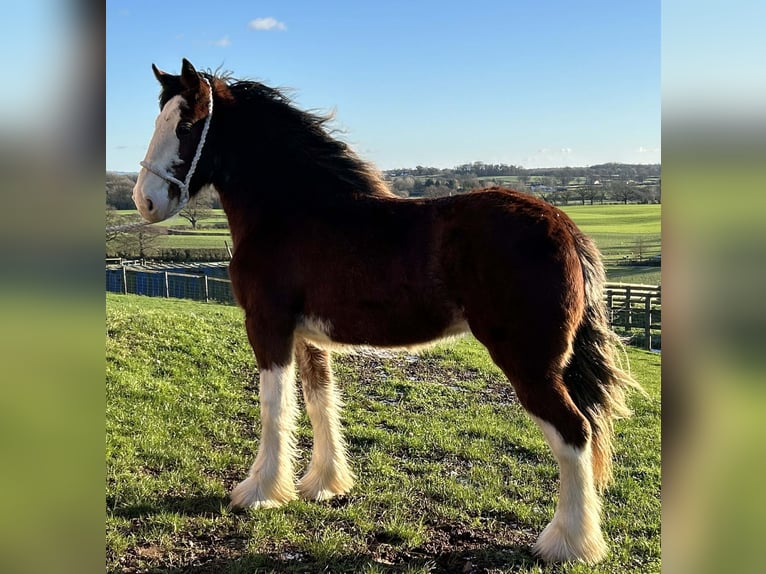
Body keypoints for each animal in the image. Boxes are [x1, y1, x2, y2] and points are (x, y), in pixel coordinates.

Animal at [131, 58, 639, 565]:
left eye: (185, 125)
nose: (145, 201)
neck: (293, 212)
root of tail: (565, 227)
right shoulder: (308, 337)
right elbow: (318, 399)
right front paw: (323, 484)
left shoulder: (267, 326)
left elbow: (274, 405)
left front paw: (259, 491)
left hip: (529, 364)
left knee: (573, 432)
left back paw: (567, 544)